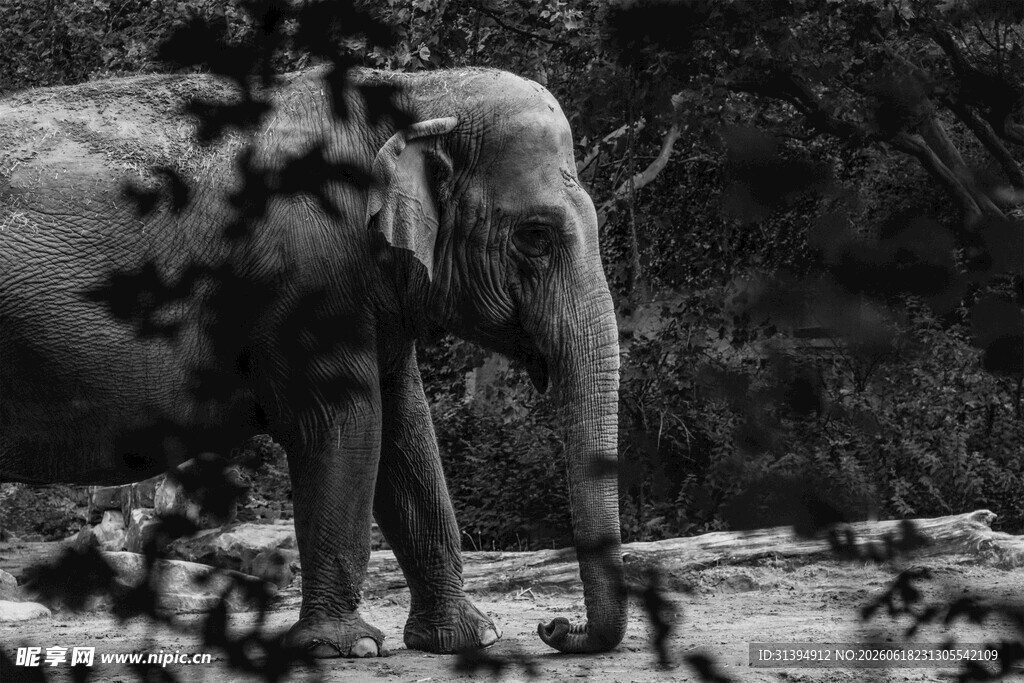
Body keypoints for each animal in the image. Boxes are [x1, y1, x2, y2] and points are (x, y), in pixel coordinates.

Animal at [0, 67, 626, 657]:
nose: (553, 626)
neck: (415, 92)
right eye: (535, 236)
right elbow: (346, 423)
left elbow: (406, 431)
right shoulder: (308, 277)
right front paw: (346, 648)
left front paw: (468, 638)